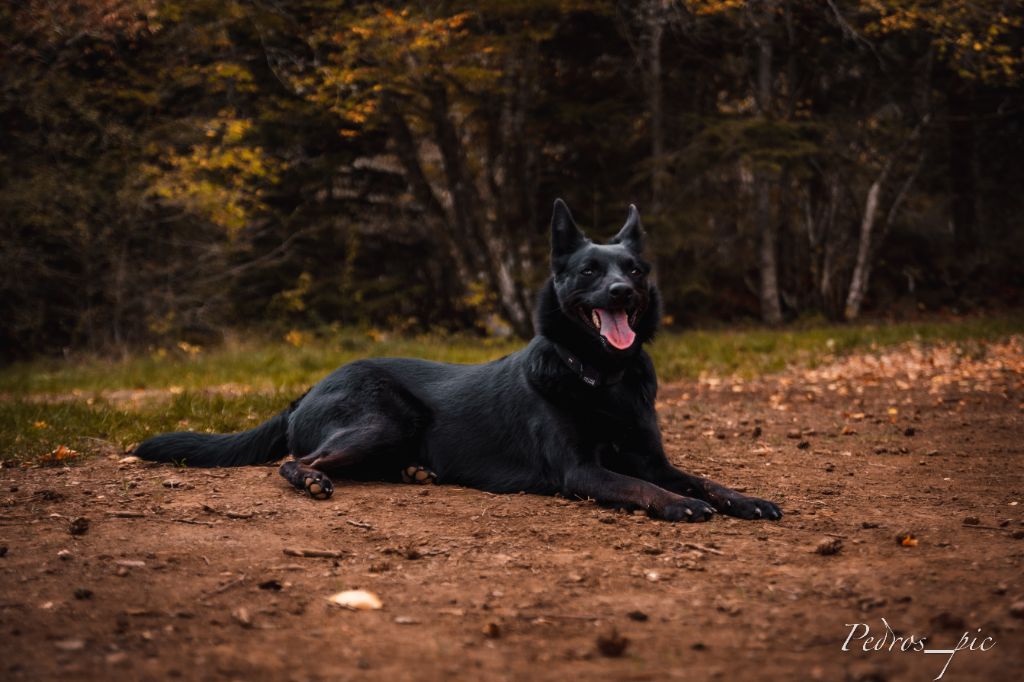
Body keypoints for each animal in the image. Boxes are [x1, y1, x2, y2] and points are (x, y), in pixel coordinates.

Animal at [132, 197, 778, 520]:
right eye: (590, 271)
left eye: (636, 271)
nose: (622, 293)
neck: (602, 377)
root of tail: (308, 390)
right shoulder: (581, 471)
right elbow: (641, 487)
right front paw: (681, 505)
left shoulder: (653, 457)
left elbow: (703, 478)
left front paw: (744, 498)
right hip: (385, 416)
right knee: (294, 461)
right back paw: (314, 478)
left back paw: (416, 471)